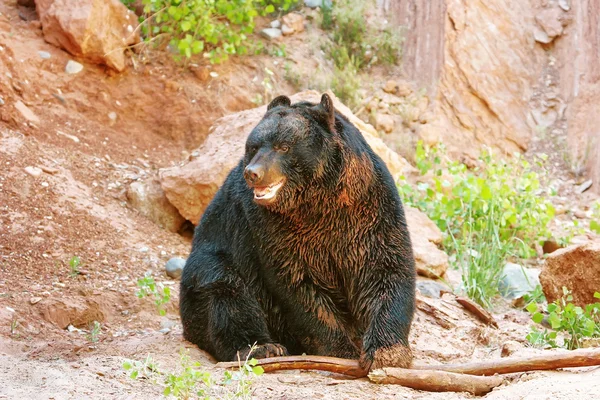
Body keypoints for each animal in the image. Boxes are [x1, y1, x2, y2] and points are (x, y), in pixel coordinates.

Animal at [179, 93, 418, 368]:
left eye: (283, 146)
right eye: (254, 146)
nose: (253, 173)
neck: (317, 202)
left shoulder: (369, 210)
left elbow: (385, 269)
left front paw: (386, 351)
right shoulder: (272, 227)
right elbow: (297, 285)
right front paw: (341, 348)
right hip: (214, 262)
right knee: (225, 290)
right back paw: (262, 347)